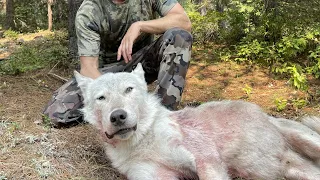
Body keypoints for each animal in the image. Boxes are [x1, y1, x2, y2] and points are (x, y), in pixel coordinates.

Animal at [74, 64, 320, 179]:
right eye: (101, 98)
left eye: (128, 89)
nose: (118, 116)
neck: (143, 141)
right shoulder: (154, 174)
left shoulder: (206, 160)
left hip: (306, 140)